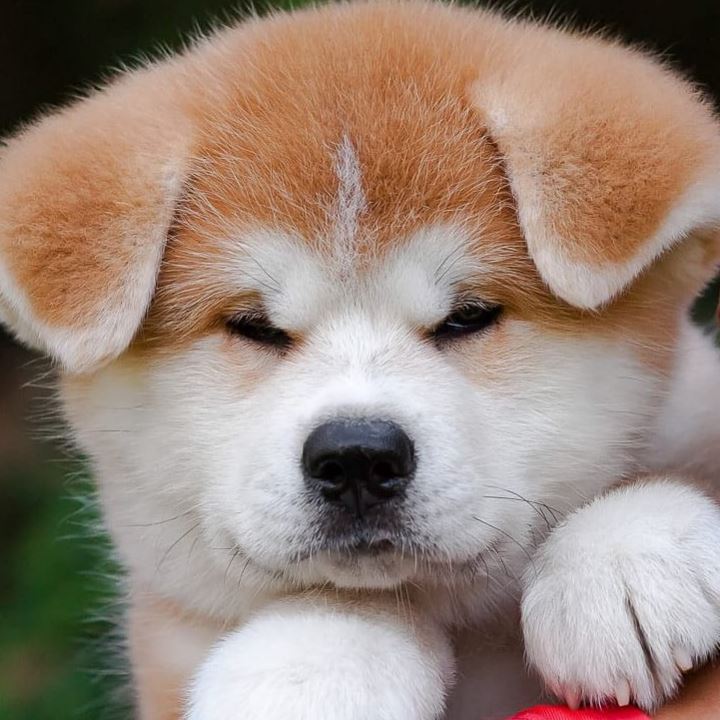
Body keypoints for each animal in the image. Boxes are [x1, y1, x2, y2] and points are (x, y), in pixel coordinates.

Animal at [1, 1, 720, 718]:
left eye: (468, 316)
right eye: (254, 327)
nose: (356, 456)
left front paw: (626, 555)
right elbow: (334, 605)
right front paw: (315, 664)